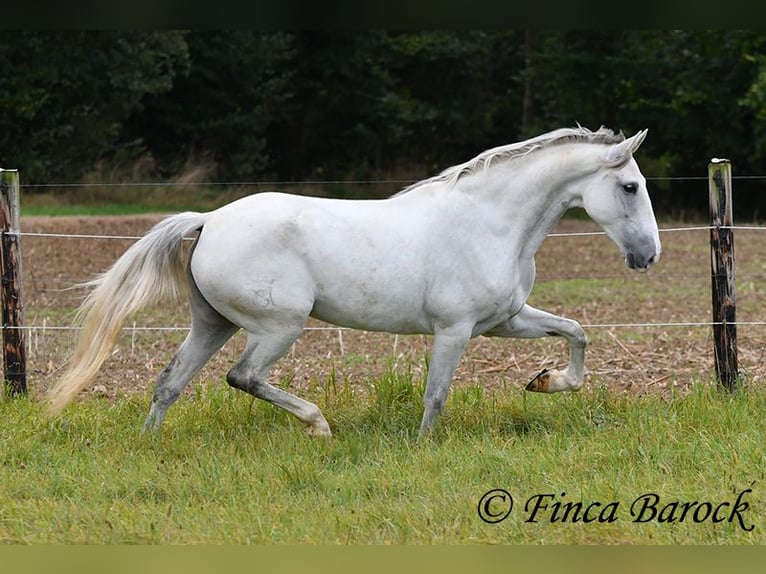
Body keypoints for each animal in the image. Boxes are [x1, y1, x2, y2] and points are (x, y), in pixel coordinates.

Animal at [48, 126, 664, 436]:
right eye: (630, 187)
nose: (648, 256)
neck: (490, 222)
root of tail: (210, 220)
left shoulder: (505, 321)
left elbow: (577, 331)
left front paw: (546, 382)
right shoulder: (455, 329)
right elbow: (436, 395)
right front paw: (424, 450)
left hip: (213, 323)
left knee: (168, 383)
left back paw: (149, 443)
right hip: (278, 325)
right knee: (242, 377)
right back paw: (319, 425)